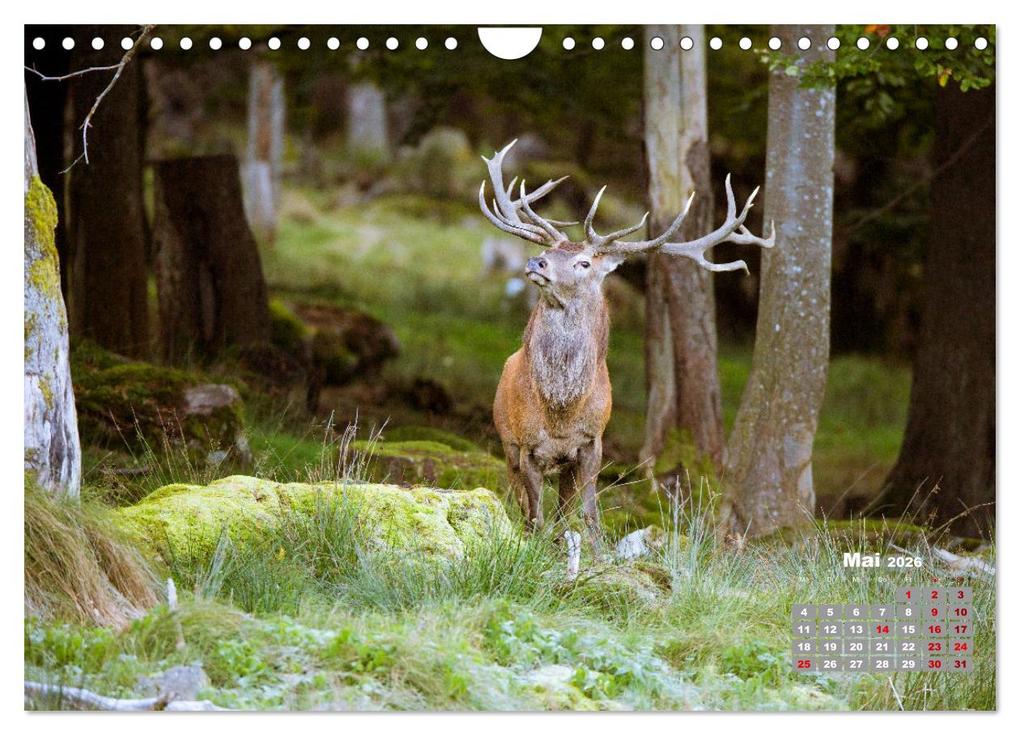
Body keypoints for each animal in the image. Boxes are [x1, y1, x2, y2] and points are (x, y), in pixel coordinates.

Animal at [481, 140, 775, 540]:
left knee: (563, 508)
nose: (535, 262)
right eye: (548, 252)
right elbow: (535, 515)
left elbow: (588, 515)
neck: (560, 411)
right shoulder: (526, 444)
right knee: (524, 503)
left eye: (584, 263)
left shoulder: (592, 443)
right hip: (506, 440)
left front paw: (592, 548)